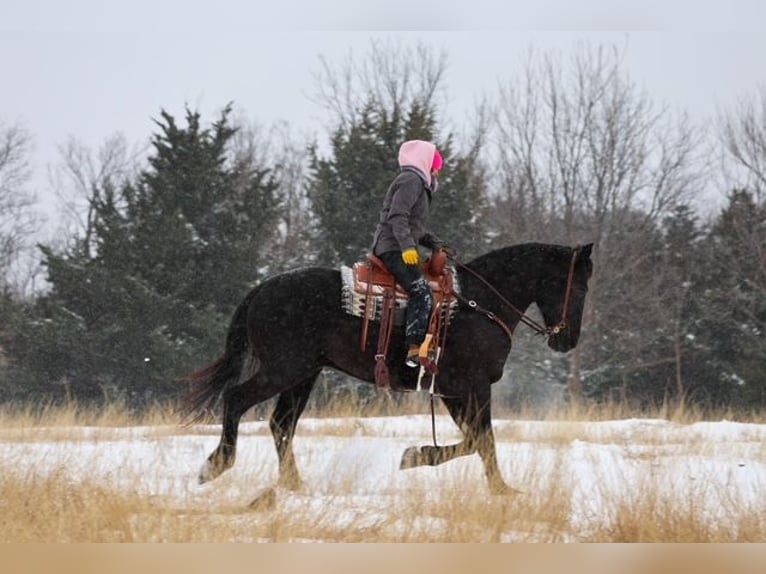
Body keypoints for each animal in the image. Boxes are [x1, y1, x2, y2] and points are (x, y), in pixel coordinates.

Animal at [184, 242, 593, 505]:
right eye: (579, 286)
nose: (568, 340)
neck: (479, 305)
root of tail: (262, 289)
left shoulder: (452, 391)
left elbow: (475, 440)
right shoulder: (472, 386)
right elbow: (483, 439)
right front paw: (421, 458)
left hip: (303, 374)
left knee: (282, 423)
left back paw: (294, 484)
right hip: (282, 369)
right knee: (237, 399)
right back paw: (216, 465)